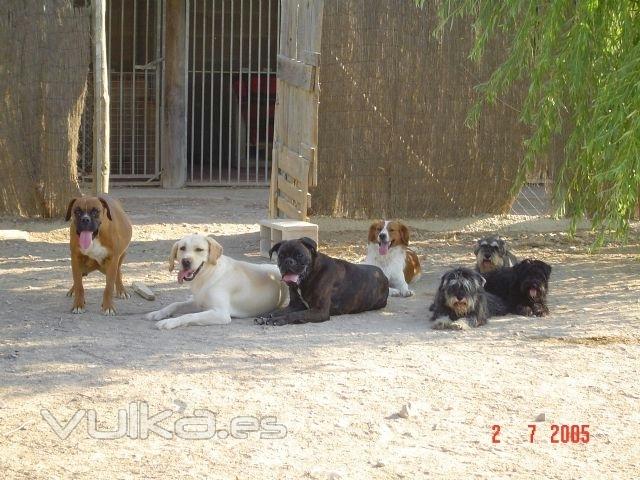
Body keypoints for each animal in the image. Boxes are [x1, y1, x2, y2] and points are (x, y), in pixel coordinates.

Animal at [145, 233, 288, 330]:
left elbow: (190, 316)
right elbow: (175, 304)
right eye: (182, 248)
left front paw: (169, 322)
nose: (185, 261)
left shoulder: (221, 314)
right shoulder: (198, 302)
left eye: (199, 249)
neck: (206, 277)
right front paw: (158, 313)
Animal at [256, 237, 390, 326]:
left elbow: (297, 315)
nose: (288, 261)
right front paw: (265, 316)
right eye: (281, 256)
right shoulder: (295, 305)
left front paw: (277, 320)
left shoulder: (320, 311)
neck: (309, 275)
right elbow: (277, 311)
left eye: (299, 255)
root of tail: (383, 275)